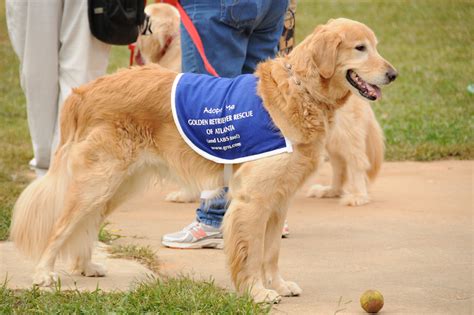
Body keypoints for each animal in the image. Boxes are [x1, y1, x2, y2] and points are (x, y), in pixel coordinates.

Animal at [11, 17, 396, 304]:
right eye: (360, 48)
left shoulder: (278, 200)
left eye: (375, 46)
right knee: (61, 226)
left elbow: (271, 251)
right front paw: (258, 292)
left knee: (87, 225)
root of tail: (84, 91)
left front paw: (278, 284)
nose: (393, 75)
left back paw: (85, 265)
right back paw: (43, 273)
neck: (302, 91)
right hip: (98, 182)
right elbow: (252, 252)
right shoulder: (253, 200)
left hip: (116, 186)